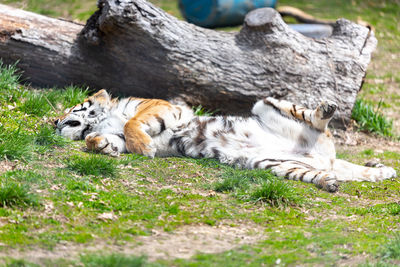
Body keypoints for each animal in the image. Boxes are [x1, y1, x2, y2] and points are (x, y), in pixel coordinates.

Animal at [54, 90, 396, 193]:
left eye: (70, 107)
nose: (53, 122)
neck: (101, 119)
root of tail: (326, 157)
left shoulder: (161, 107)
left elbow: (131, 122)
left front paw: (144, 146)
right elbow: (104, 139)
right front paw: (99, 143)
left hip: (265, 104)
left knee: (314, 117)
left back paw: (325, 110)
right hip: (276, 164)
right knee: (331, 173)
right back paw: (335, 181)